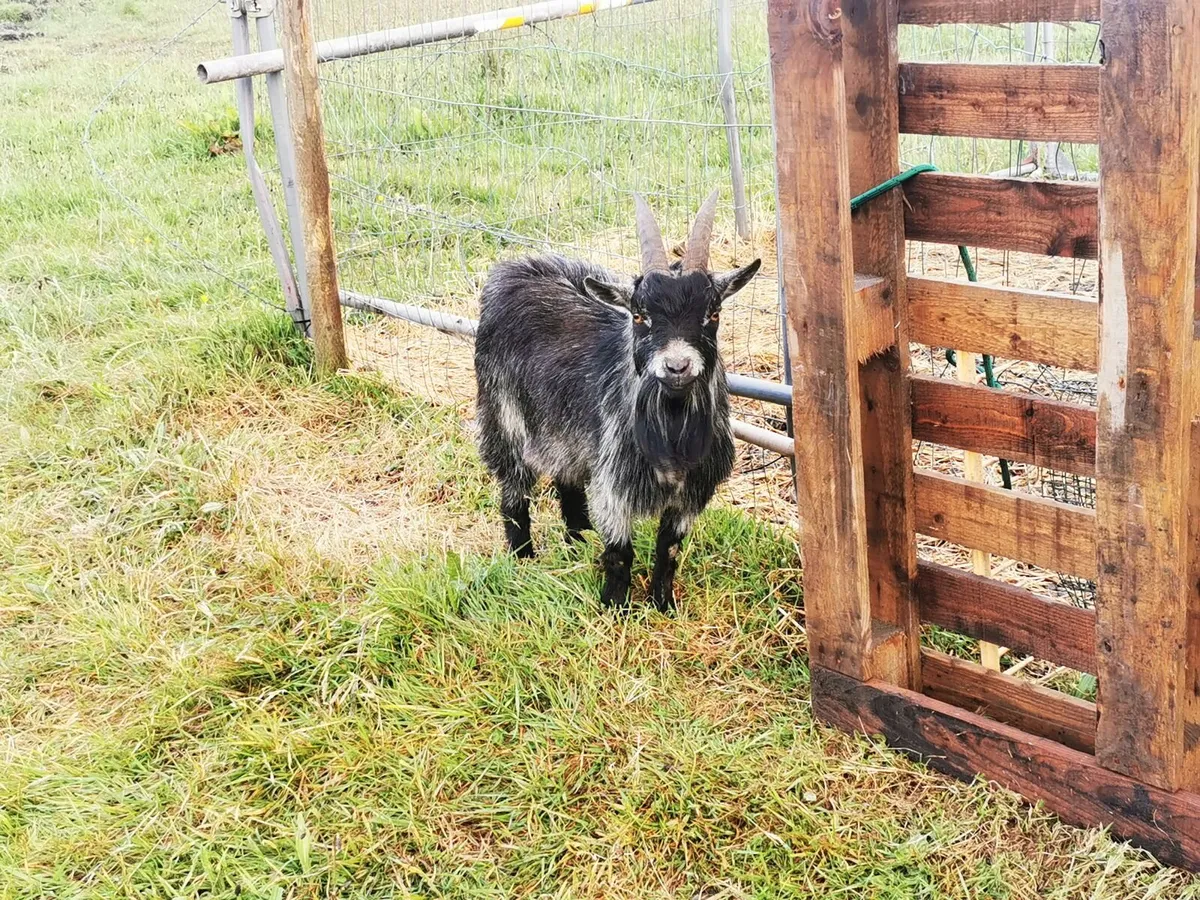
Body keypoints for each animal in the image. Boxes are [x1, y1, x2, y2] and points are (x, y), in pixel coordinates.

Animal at [473, 192, 761, 610]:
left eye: (714, 312)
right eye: (639, 316)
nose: (677, 366)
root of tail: (514, 268)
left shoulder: (690, 494)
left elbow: (669, 549)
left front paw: (663, 606)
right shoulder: (614, 485)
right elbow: (620, 552)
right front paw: (614, 608)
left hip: (566, 434)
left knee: (567, 482)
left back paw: (577, 541)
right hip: (502, 415)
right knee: (513, 491)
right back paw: (522, 558)